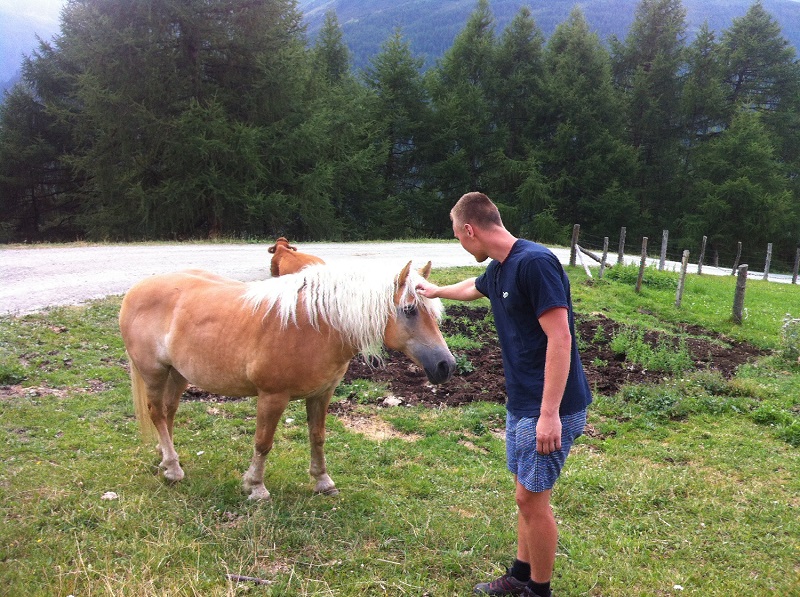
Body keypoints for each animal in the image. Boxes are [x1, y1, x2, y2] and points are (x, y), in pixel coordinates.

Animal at [119, 261, 455, 500]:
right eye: (409, 310)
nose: (447, 365)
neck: (314, 325)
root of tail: (136, 289)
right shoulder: (272, 397)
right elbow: (263, 442)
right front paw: (255, 487)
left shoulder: (322, 394)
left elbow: (317, 437)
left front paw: (323, 481)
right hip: (154, 372)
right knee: (156, 412)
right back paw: (173, 469)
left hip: (177, 374)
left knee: (169, 412)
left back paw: (166, 458)